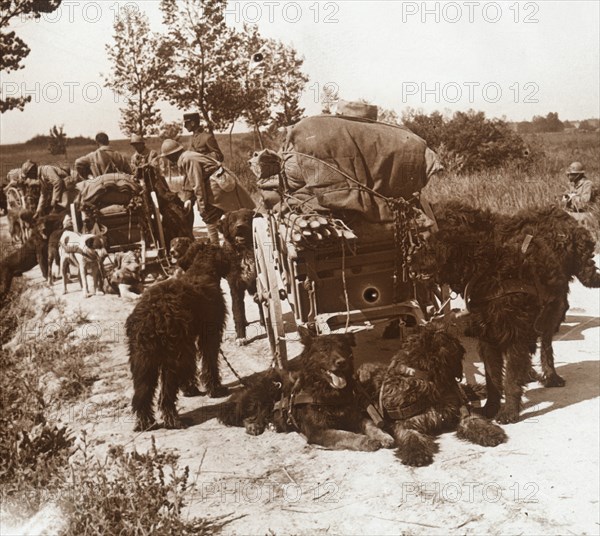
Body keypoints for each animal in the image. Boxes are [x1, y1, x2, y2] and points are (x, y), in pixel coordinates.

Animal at [126, 239, 230, 432]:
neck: (201, 270)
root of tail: (151, 315)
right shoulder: (209, 337)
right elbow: (210, 363)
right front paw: (215, 389)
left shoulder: (188, 345)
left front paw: (190, 389)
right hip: (171, 359)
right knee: (165, 396)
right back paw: (174, 421)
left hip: (143, 360)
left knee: (142, 395)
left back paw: (146, 423)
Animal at [219, 207, 264, 346]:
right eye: (232, 221)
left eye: (246, 219)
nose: (239, 226)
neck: (244, 252)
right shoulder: (236, 288)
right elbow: (238, 312)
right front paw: (241, 337)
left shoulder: (257, 283)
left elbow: (261, 303)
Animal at [220, 328, 394, 450]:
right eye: (324, 350)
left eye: (343, 348)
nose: (341, 362)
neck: (327, 392)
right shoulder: (317, 431)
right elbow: (346, 435)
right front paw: (367, 441)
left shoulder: (355, 416)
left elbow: (371, 424)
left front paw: (384, 436)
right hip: (268, 389)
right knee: (240, 415)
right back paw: (254, 425)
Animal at [356, 324, 506, 466]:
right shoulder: (406, 424)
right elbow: (411, 437)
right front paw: (416, 453)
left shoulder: (458, 410)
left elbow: (474, 421)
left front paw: (490, 432)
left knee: (466, 389)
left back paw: (482, 390)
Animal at [414, 211, 568, 426]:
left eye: (429, 249)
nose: (410, 259)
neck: (485, 273)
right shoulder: (488, 338)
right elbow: (492, 378)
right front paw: (490, 408)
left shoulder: (515, 337)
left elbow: (511, 379)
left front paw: (509, 411)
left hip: (549, 317)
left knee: (546, 348)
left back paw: (552, 376)